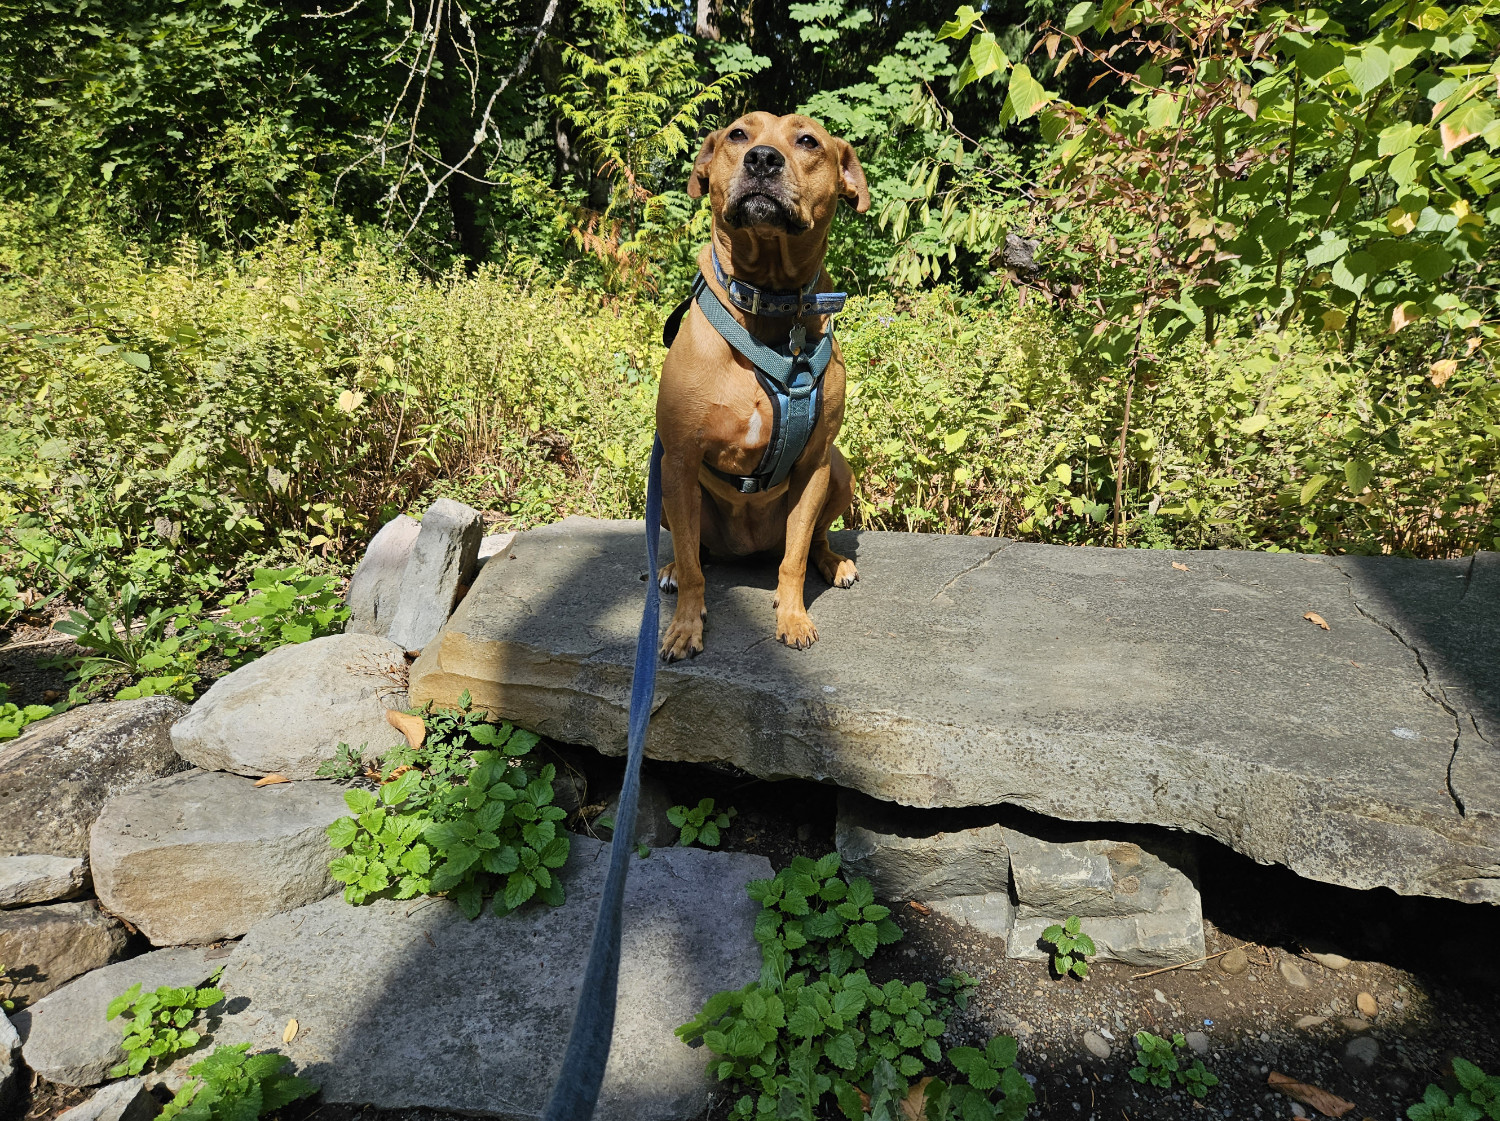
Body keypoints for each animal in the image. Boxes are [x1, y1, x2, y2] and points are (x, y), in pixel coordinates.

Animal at [654, 112, 870, 657]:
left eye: (808, 141)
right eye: (737, 135)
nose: (763, 160)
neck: (767, 300)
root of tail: (747, 551)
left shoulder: (815, 465)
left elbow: (793, 560)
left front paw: (792, 617)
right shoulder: (679, 459)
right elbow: (694, 569)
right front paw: (684, 627)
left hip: (840, 471)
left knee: (810, 542)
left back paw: (833, 562)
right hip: (666, 490)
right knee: (695, 551)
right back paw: (670, 568)